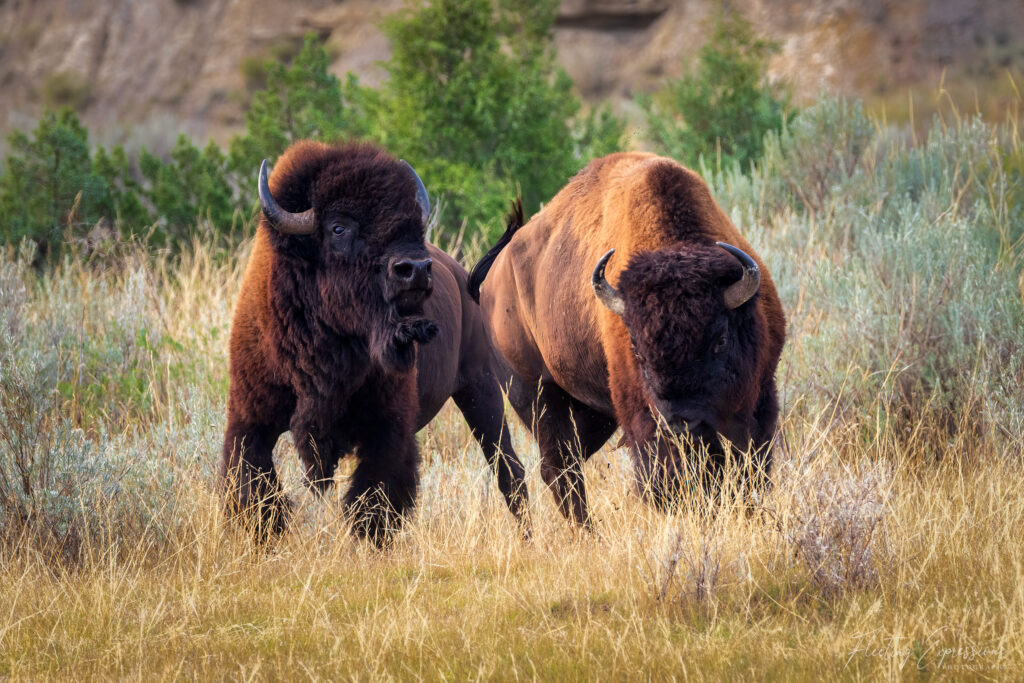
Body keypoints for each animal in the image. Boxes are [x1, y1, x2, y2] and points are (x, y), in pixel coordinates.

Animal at [222, 140, 528, 544]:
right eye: (338, 228)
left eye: (414, 225)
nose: (416, 269)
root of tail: (464, 278)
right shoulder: (249, 421)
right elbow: (255, 489)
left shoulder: (387, 429)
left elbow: (371, 500)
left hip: (481, 388)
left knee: (509, 471)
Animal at [468, 152, 786, 528]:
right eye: (637, 349)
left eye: (720, 340)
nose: (678, 422)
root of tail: (493, 280)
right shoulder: (643, 416)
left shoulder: (759, 397)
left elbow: (748, 466)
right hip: (534, 393)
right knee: (559, 468)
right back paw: (586, 531)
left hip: (592, 412)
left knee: (570, 461)